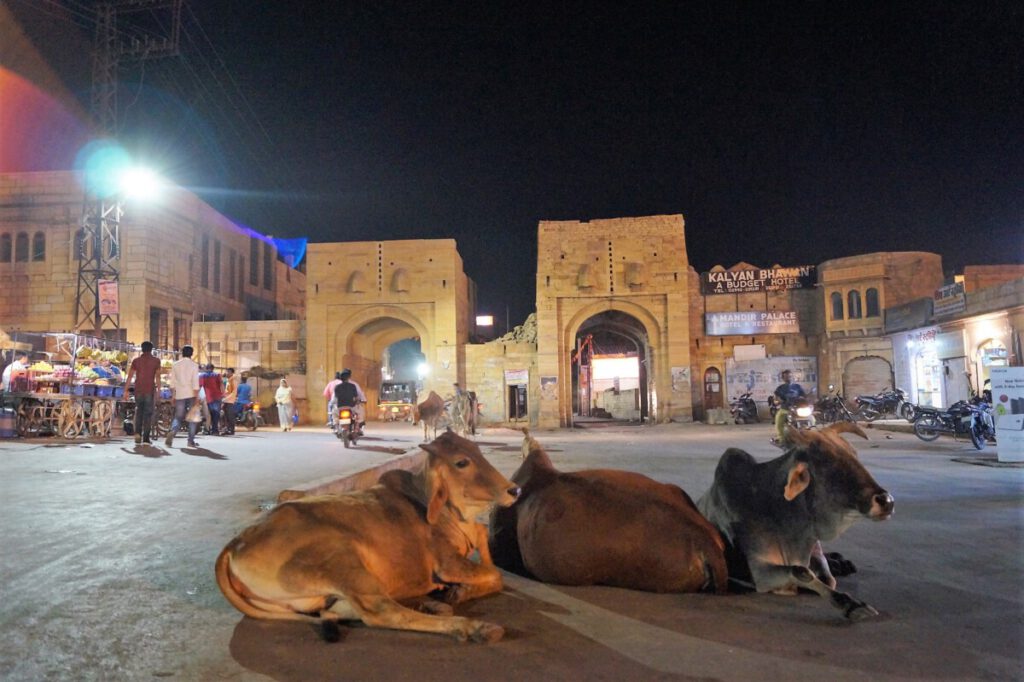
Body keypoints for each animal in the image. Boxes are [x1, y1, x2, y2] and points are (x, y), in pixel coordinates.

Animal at [215, 432, 520, 638]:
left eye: (477, 450)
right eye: (461, 462)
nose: (513, 489)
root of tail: (234, 545)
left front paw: (456, 591)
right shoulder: (448, 563)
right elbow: (496, 575)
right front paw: (459, 592)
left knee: (340, 611)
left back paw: (432, 605)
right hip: (344, 562)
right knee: (381, 612)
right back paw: (474, 626)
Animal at [696, 421, 897, 618]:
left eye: (854, 454)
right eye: (827, 462)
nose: (886, 501)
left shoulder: (813, 546)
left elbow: (826, 577)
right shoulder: (760, 571)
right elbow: (802, 572)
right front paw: (851, 604)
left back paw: (841, 562)